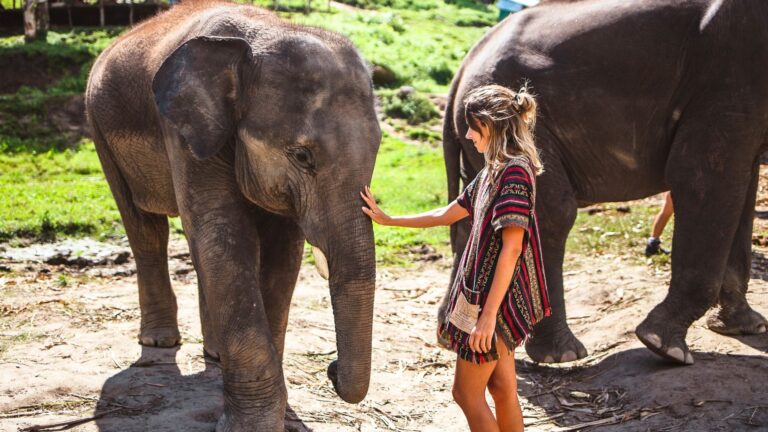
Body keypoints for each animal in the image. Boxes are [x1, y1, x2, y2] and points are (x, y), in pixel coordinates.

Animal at [85, 1, 380, 430]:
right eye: (302, 156)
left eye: (377, 150)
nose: (331, 368)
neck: (265, 34)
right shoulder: (183, 131)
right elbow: (224, 235)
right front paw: (253, 425)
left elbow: (282, 254)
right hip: (100, 131)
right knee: (146, 230)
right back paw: (159, 341)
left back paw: (215, 354)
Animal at [441, 0, 768, 366]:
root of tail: (463, 67)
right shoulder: (729, 72)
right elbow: (702, 176)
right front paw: (664, 346)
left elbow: (743, 186)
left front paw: (746, 327)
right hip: (525, 126)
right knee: (552, 213)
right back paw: (561, 354)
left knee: (474, 217)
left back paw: (456, 338)